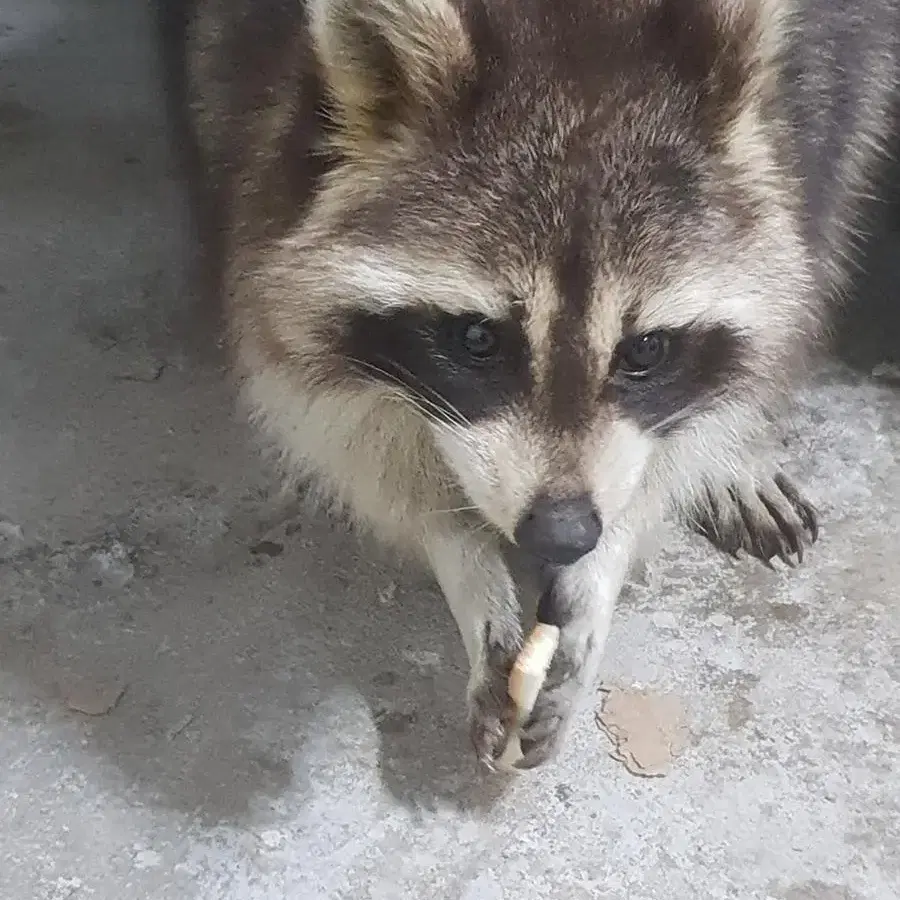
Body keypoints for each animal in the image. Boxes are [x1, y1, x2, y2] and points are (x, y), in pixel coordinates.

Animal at [181, 0, 900, 768]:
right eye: (477, 339)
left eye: (646, 350)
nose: (563, 534)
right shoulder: (243, 69)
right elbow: (342, 415)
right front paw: (466, 565)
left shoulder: (835, 72)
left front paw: (603, 570)